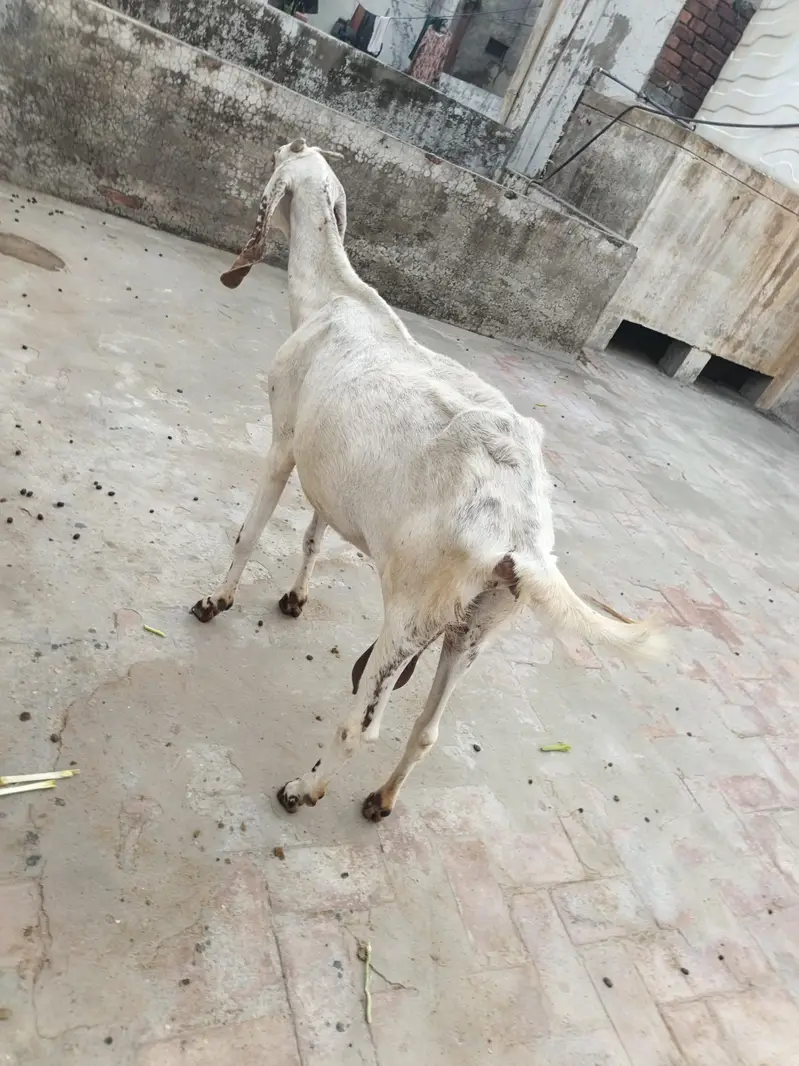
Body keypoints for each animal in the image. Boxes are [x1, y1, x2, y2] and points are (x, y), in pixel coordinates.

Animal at [192, 138, 661, 820]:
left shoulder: (283, 441)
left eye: (284, 159)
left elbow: (249, 532)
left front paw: (215, 601)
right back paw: (381, 799)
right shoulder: (331, 468)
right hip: (472, 631)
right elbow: (313, 533)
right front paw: (295, 596)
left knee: (361, 725)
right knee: (428, 730)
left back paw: (303, 788)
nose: (281, 143)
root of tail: (522, 537)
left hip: (409, 616)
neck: (335, 301)